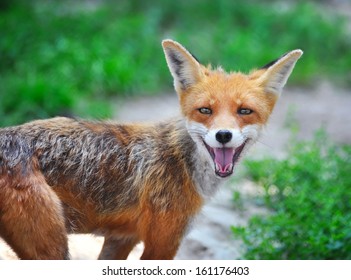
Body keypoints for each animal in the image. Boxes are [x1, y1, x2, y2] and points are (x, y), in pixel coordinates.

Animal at [0, 38, 302, 258]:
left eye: (244, 111)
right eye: (205, 110)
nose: (224, 135)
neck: (181, 163)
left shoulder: (121, 239)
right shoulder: (163, 241)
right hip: (51, 247)